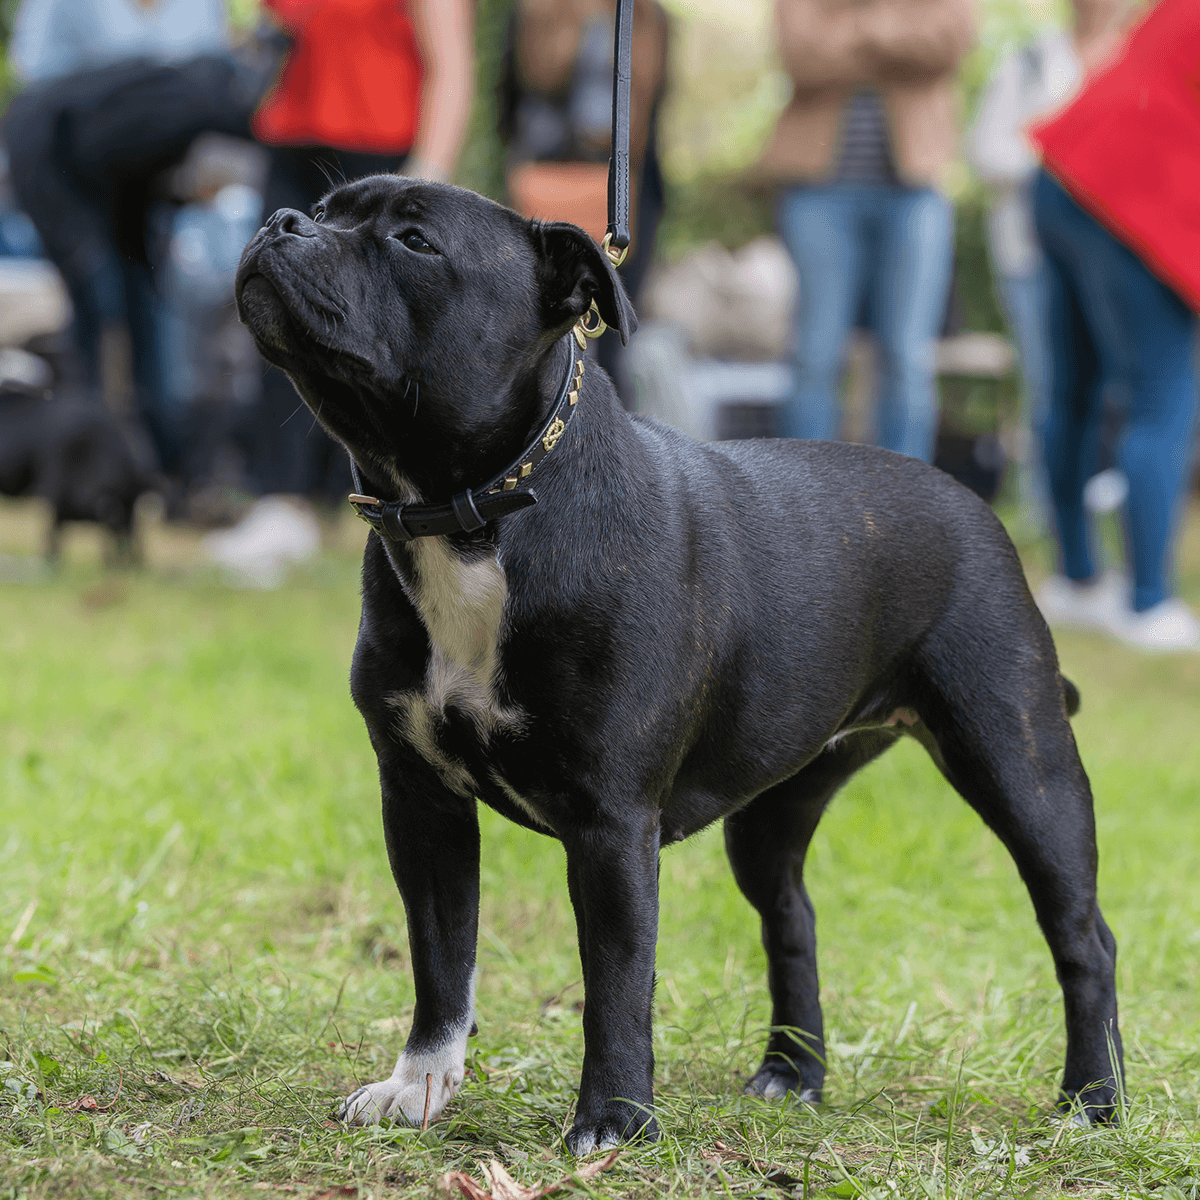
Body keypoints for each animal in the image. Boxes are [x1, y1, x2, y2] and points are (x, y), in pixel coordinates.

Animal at [236, 177, 1123, 1152]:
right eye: (326, 208)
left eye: (414, 241)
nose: (282, 222)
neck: (471, 511)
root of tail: (975, 504)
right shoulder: (421, 799)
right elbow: (441, 958)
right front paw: (420, 1086)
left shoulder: (612, 822)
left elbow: (617, 979)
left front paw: (614, 1122)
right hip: (773, 813)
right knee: (793, 918)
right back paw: (793, 1074)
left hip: (1020, 764)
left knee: (1082, 935)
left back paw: (1093, 1101)